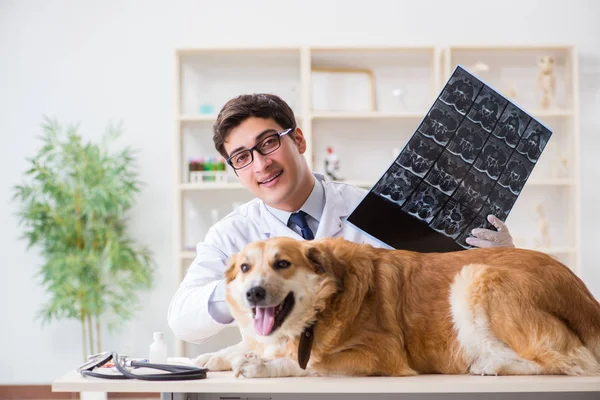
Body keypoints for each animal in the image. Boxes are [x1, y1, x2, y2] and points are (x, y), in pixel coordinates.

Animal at [195, 238, 600, 378]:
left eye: (282, 264)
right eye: (244, 268)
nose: (254, 294)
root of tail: (581, 291)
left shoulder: (382, 353)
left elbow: (312, 363)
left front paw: (261, 366)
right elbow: (247, 345)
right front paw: (213, 357)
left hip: (475, 275)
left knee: (572, 361)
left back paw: (491, 365)